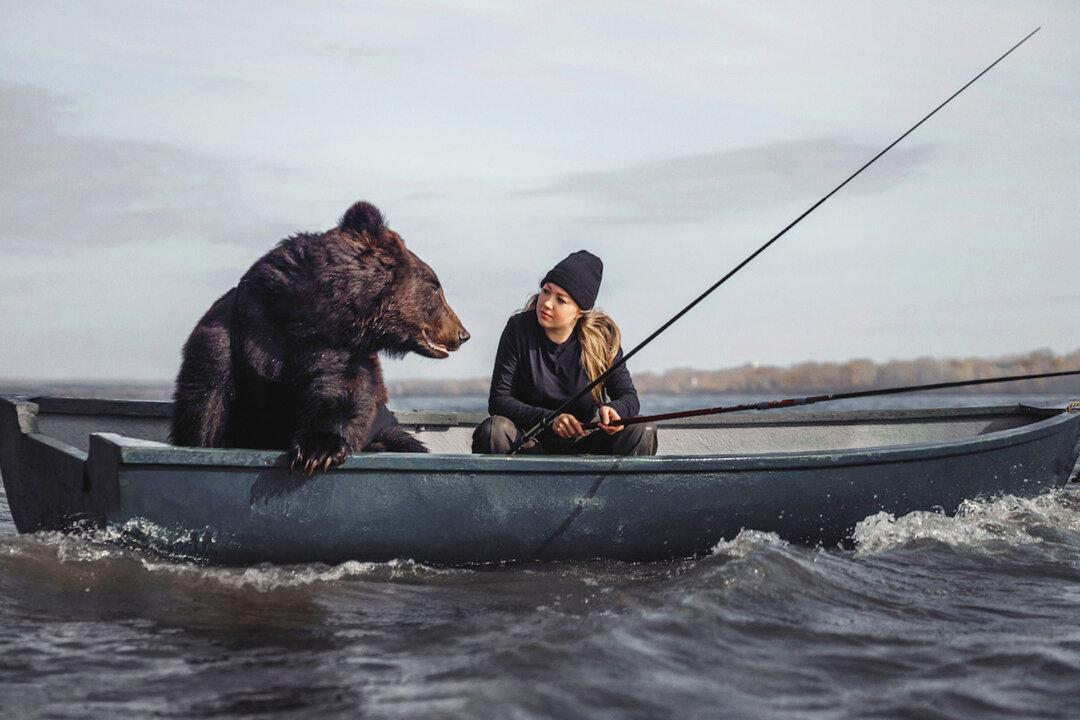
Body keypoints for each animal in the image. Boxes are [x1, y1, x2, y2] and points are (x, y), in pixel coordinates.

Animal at [170, 200, 469, 474]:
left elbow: (340, 390)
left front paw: (319, 449)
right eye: (435, 286)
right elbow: (206, 403)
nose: (462, 333)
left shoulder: (337, 349)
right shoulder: (234, 332)